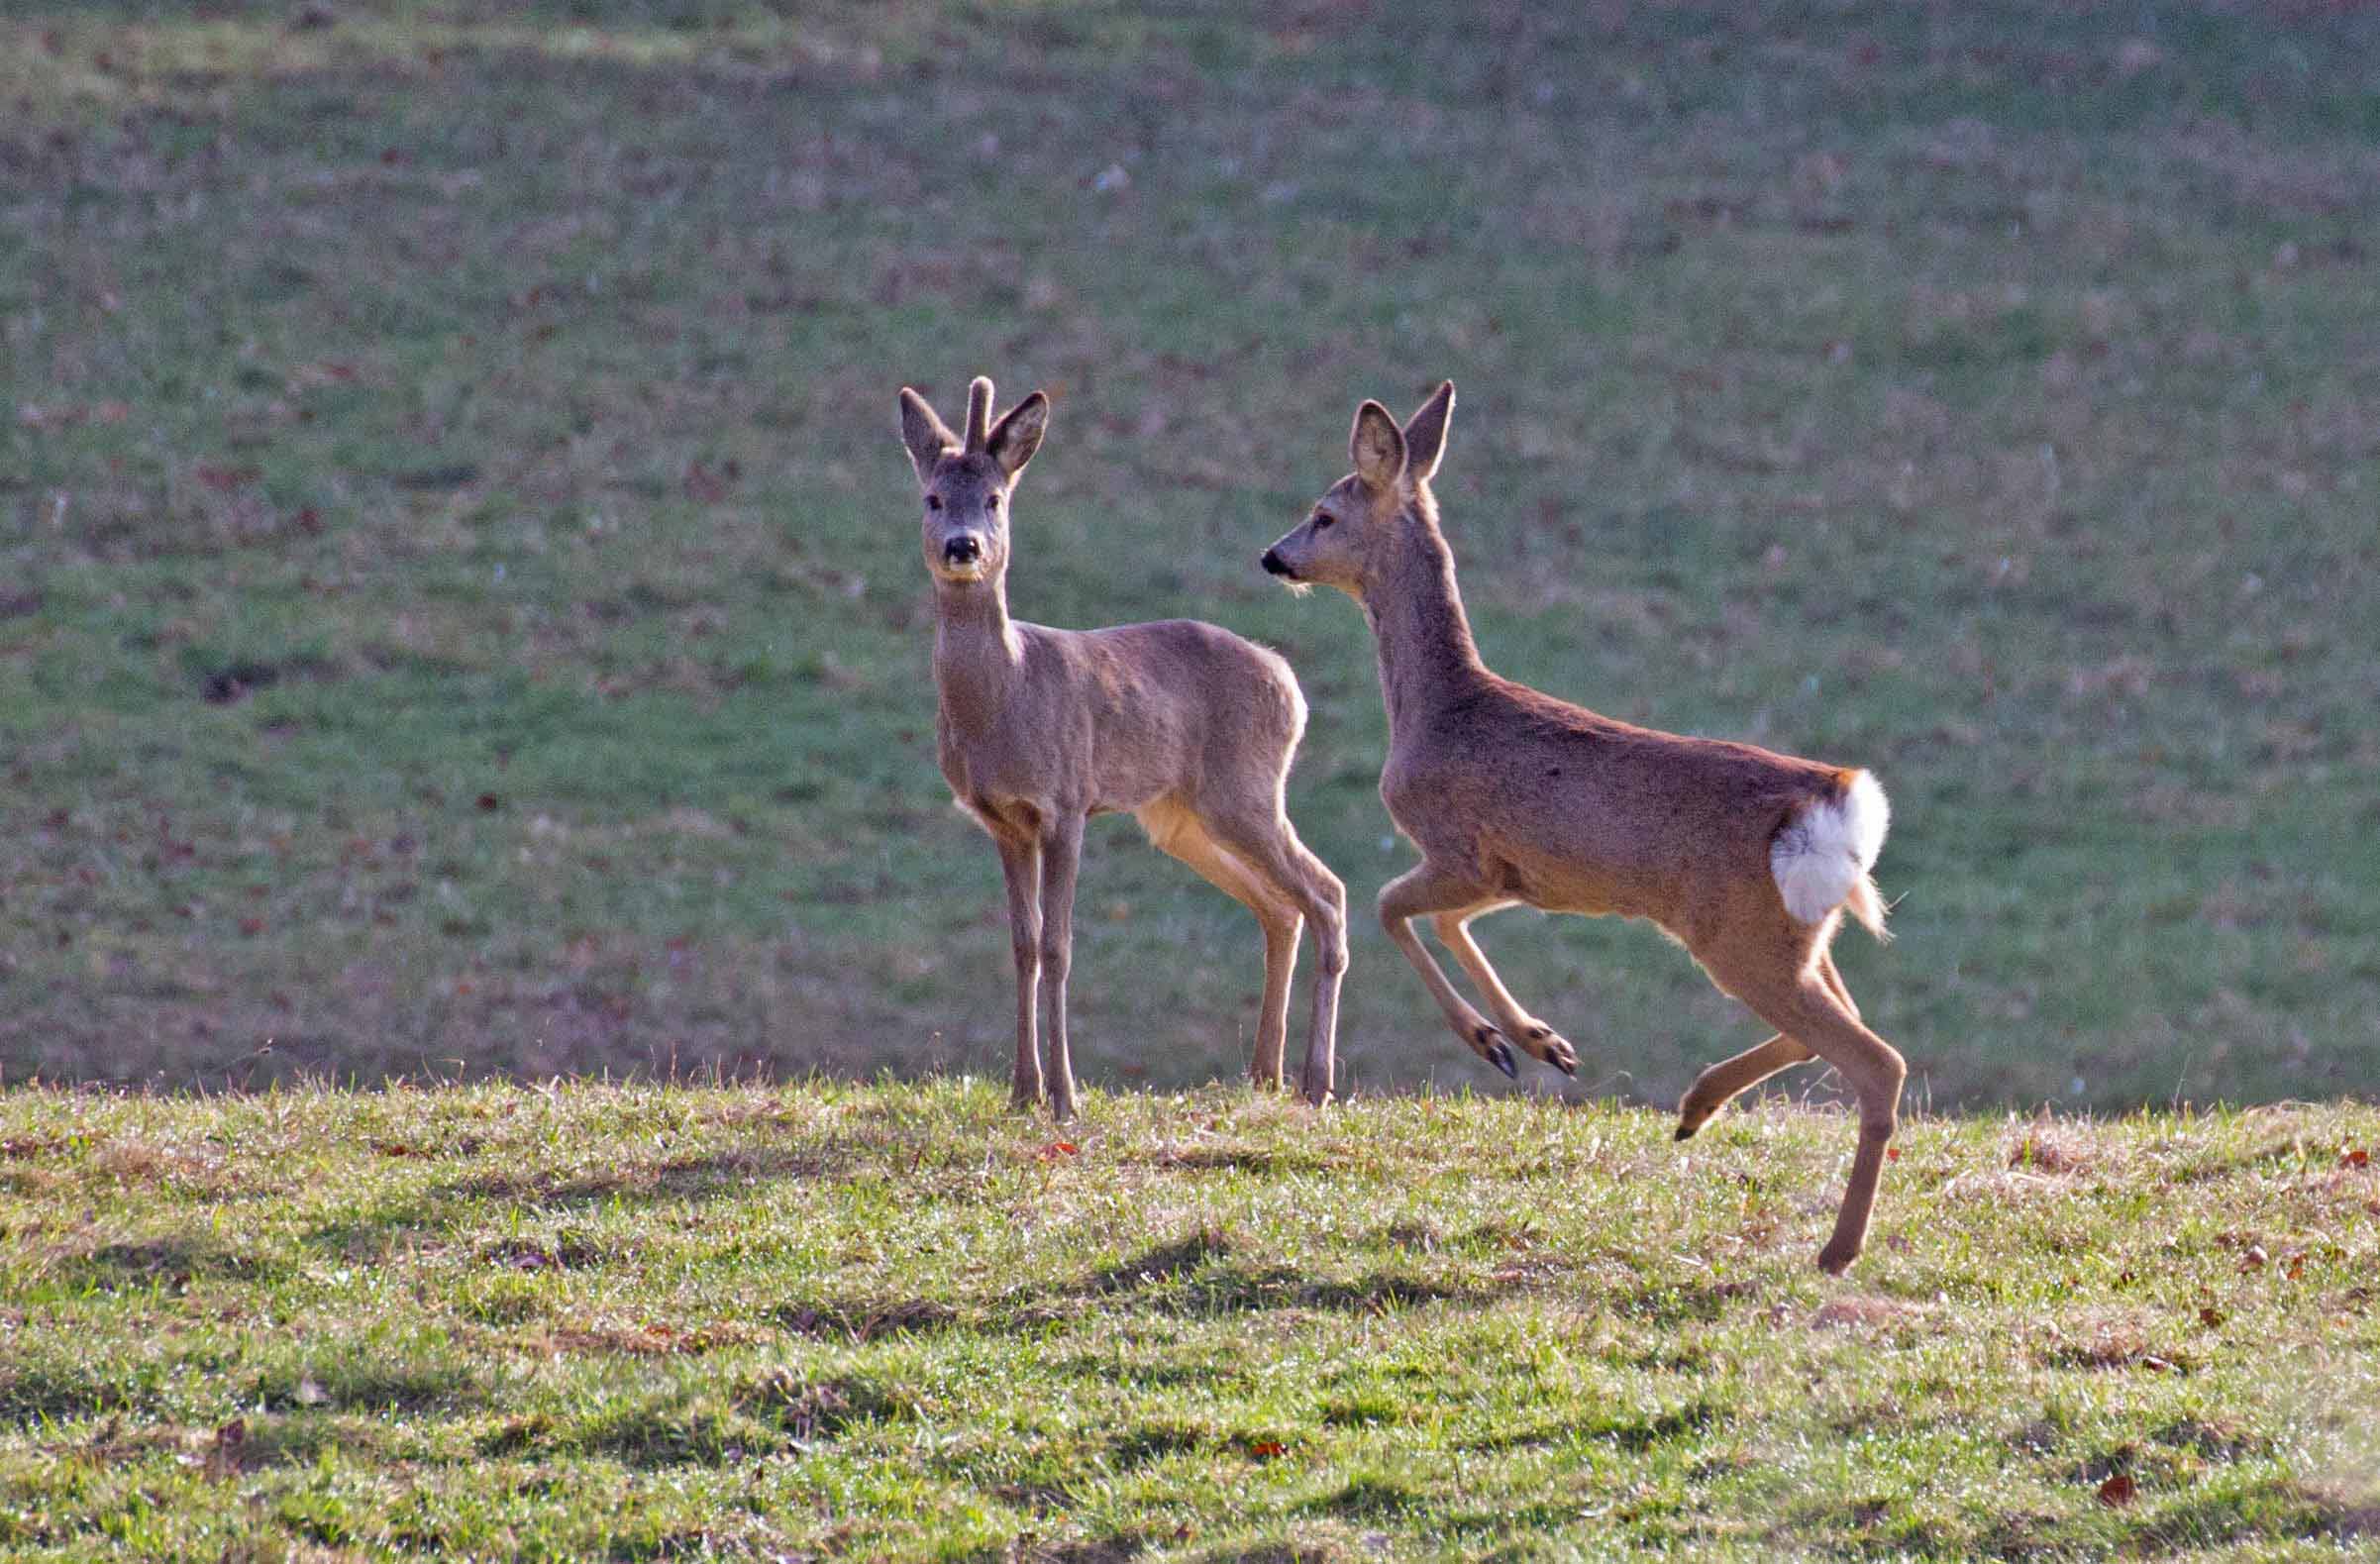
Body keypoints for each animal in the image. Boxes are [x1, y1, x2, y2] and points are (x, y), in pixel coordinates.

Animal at [899, 375, 1351, 1123]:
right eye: (932, 498)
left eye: (995, 499)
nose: (963, 546)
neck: (1005, 698)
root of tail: (1289, 681)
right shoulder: (1001, 820)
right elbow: (1021, 944)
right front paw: (1021, 1091)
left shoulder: (1065, 801)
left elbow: (1058, 945)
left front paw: (1064, 1096)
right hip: (1181, 817)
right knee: (1279, 906)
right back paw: (1264, 1073)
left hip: (1245, 790)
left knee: (1327, 891)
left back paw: (1316, 1082)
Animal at [1276, 382, 1904, 1276]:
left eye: (1324, 514)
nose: (1274, 556)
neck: (1437, 706)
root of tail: (1837, 798)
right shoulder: (1519, 874)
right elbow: (1445, 921)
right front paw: (1538, 1041)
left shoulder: (1458, 847)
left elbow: (1391, 906)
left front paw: (1493, 1040)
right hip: (1795, 933)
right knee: (1826, 1035)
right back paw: (1695, 1106)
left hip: (1741, 937)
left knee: (1877, 1061)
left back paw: (1836, 1248)